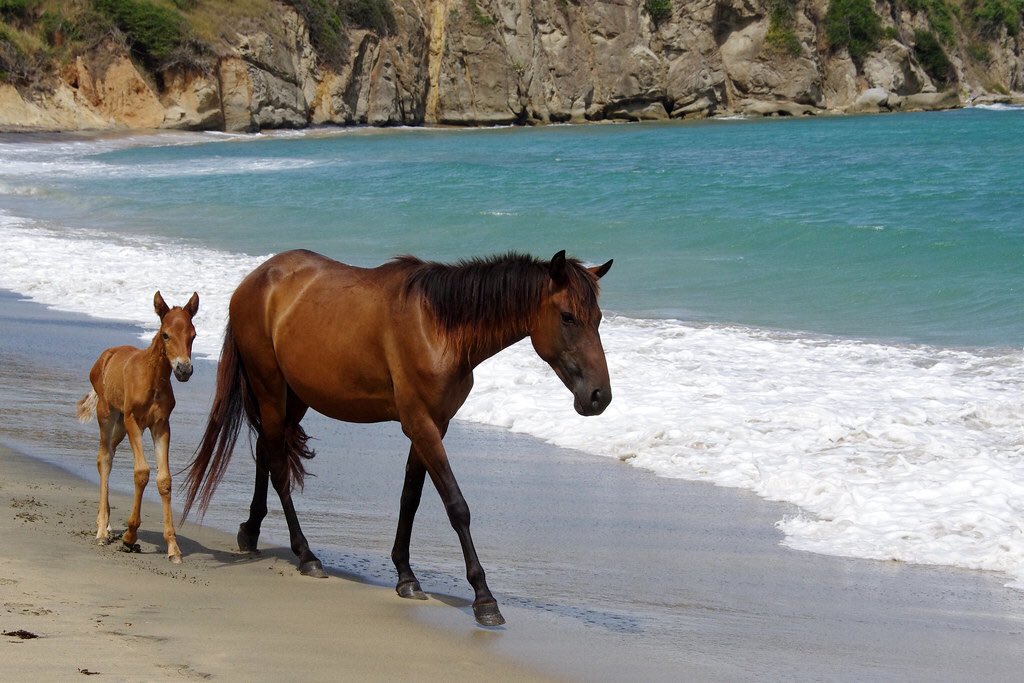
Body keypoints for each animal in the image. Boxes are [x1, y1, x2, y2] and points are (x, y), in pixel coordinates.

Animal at [77, 291, 199, 564]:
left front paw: (173, 548)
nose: (184, 369)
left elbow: (164, 479)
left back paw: (107, 524)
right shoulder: (134, 421)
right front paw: (130, 536)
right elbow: (141, 473)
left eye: (193, 335)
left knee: (109, 453)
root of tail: (104, 357)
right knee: (104, 457)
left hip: (121, 424)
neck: (152, 379)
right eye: (165, 334)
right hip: (108, 414)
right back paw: (102, 532)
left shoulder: (161, 425)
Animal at [182, 249, 612, 626]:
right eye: (568, 317)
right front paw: (484, 599)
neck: (439, 328)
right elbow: (456, 506)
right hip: (270, 388)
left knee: (266, 452)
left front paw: (406, 575)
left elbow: (411, 498)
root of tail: (253, 281)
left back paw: (251, 531)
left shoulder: (433, 424)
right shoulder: (421, 424)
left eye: (599, 318)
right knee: (278, 468)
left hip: (295, 396)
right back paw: (306, 556)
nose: (599, 397)